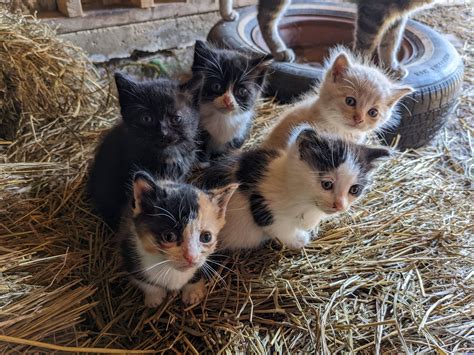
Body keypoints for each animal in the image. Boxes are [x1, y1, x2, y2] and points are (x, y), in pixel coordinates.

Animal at [118, 171, 237, 308]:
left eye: (206, 237)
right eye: (169, 236)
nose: (191, 257)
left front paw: (193, 291)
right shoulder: (128, 251)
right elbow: (142, 280)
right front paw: (154, 296)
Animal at [196, 126, 388, 252]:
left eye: (354, 189)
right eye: (327, 184)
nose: (340, 205)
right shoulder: (262, 203)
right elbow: (280, 227)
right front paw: (298, 240)